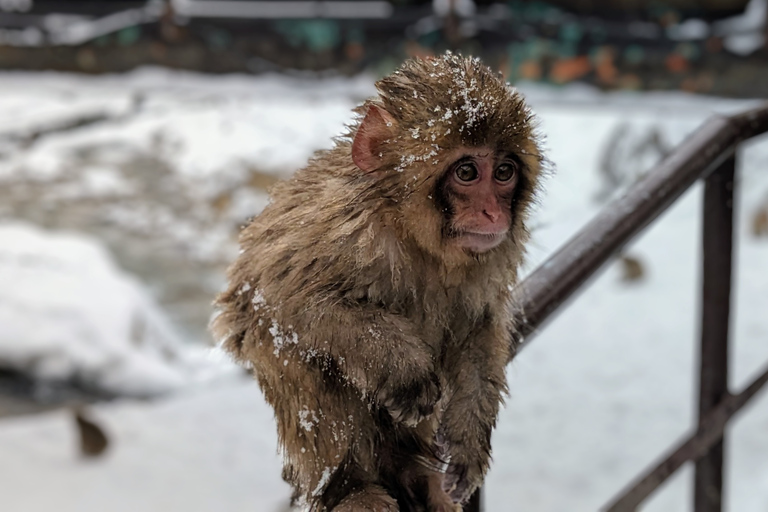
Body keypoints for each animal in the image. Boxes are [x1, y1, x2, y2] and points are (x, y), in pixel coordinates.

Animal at [213, 54, 544, 510]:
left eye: (505, 172)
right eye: (467, 172)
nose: (494, 214)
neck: (416, 238)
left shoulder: (492, 259)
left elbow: (479, 326)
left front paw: (467, 439)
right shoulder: (344, 229)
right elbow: (280, 299)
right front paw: (403, 367)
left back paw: (417, 472)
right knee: (298, 354)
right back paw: (351, 486)